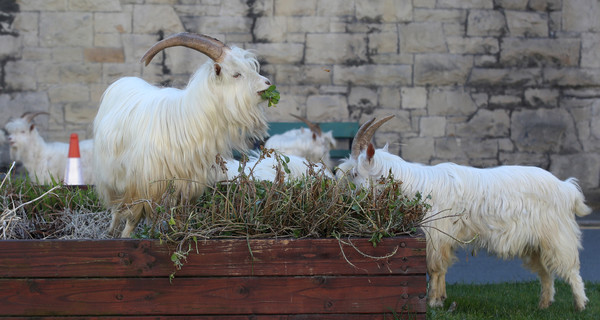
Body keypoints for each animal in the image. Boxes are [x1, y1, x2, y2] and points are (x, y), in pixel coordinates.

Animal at [95, 33, 274, 238]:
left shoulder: (187, 185)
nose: (268, 84)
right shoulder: (142, 184)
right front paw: (125, 239)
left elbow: (181, 216)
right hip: (111, 176)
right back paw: (111, 231)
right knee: (116, 207)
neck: (188, 120)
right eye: (236, 74)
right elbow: (133, 218)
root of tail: (124, 81)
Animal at [338, 116, 592, 312]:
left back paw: (580, 305)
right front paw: (441, 299)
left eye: (354, 173)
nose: (342, 197)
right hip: (536, 242)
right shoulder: (442, 238)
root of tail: (567, 188)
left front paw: (433, 303)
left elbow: (435, 268)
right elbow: (442, 268)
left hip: (557, 235)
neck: (415, 187)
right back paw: (544, 304)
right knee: (546, 272)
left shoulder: (436, 235)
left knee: (570, 269)